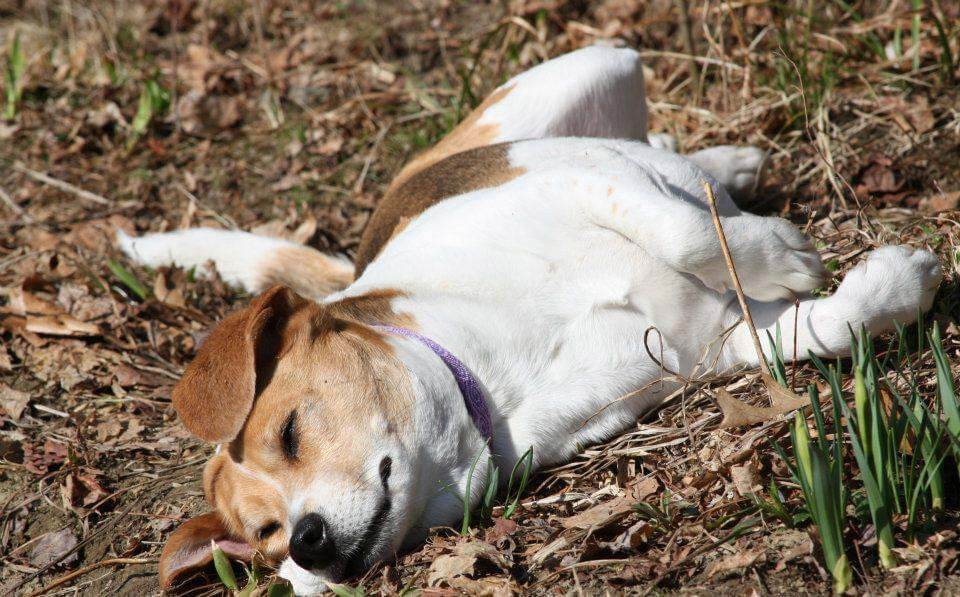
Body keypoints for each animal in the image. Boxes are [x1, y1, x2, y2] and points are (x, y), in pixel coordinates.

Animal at [118, 46, 936, 592]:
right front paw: (892, 286)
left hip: (585, 75)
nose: (306, 547)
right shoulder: (710, 344)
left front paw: (786, 252)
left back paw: (719, 164)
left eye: (288, 433)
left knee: (653, 158)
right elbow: (819, 328)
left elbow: (691, 234)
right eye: (264, 538)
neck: (494, 374)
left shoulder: (570, 177)